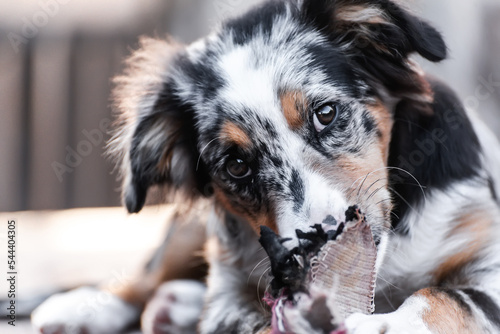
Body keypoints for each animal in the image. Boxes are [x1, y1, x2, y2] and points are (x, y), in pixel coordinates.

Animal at [32, 0, 500, 334]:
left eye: (325, 113)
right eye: (237, 165)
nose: (316, 245)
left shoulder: (485, 252)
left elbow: (444, 296)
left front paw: (391, 324)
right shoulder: (228, 294)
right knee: (151, 273)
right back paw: (88, 307)